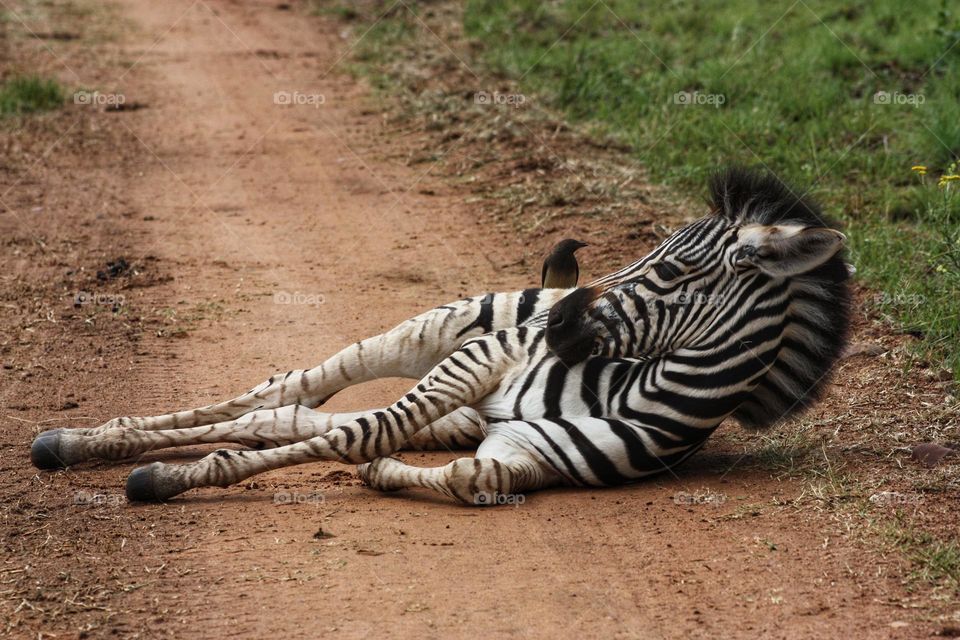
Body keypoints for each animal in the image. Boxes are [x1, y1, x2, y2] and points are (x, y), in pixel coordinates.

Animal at [30, 167, 851, 506]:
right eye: (652, 253)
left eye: (676, 269)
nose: (556, 323)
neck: (643, 383)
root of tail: (542, 285)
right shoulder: (480, 358)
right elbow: (362, 430)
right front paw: (165, 480)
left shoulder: (520, 454)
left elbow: (460, 479)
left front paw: (385, 475)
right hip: (438, 337)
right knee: (293, 390)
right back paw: (87, 441)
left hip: (465, 413)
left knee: (284, 417)